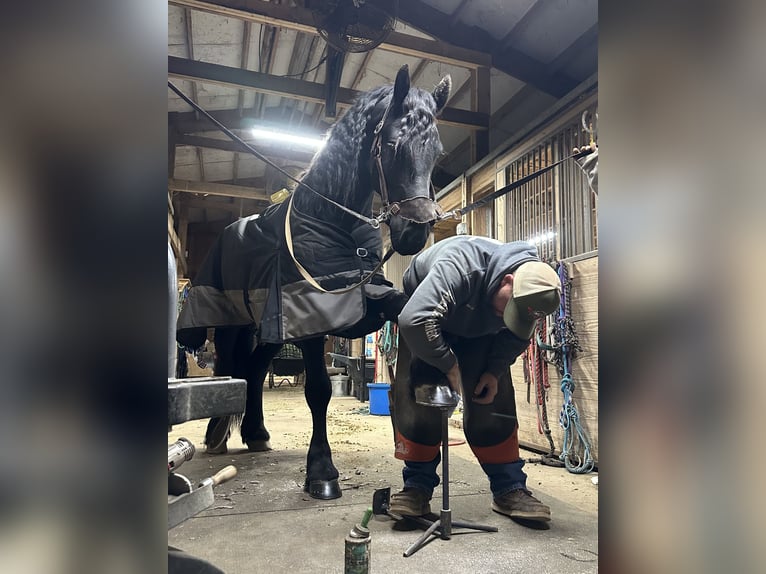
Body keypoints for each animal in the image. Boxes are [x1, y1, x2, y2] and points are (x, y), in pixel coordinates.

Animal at [176, 65, 451, 500]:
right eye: (391, 145)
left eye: (437, 152)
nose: (413, 232)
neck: (331, 220)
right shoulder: (311, 315)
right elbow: (318, 390)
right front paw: (321, 472)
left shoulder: (367, 298)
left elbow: (410, 312)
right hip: (232, 321)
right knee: (234, 368)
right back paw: (217, 434)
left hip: (270, 329)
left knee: (255, 370)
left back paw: (256, 434)